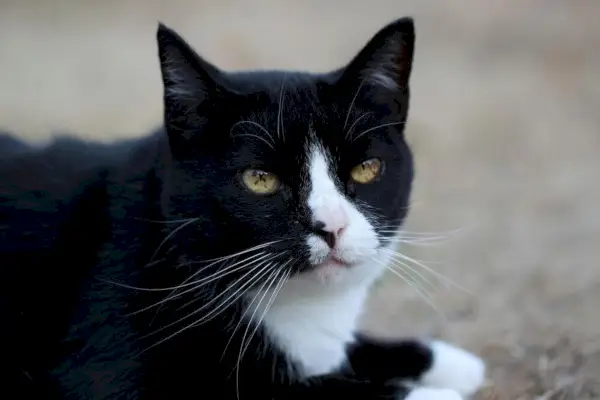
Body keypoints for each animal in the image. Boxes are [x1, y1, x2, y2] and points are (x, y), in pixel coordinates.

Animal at [0, 17, 486, 398]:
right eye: (260, 179)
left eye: (366, 169)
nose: (331, 227)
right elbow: (286, 391)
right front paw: (429, 392)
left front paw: (443, 360)